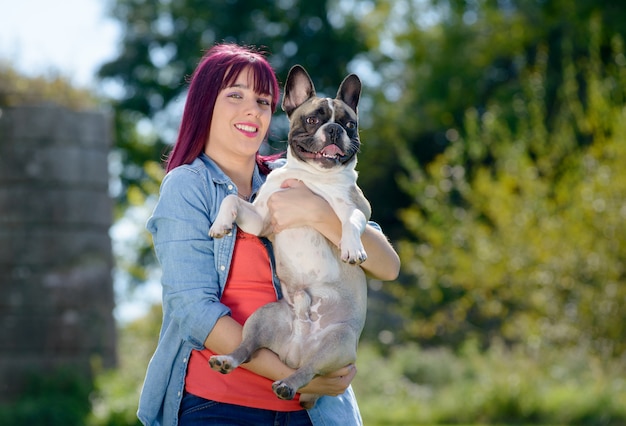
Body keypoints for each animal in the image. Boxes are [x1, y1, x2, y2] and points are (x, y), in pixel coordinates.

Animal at [207, 64, 368, 410]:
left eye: (350, 124)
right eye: (312, 120)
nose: (334, 129)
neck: (311, 176)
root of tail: (296, 352)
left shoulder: (358, 206)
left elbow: (351, 220)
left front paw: (353, 248)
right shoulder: (262, 219)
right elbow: (231, 199)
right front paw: (220, 224)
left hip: (337, 342)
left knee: (309, 371)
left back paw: (286, 385)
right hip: (263, 317)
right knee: (248, 349)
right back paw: (226, 360)